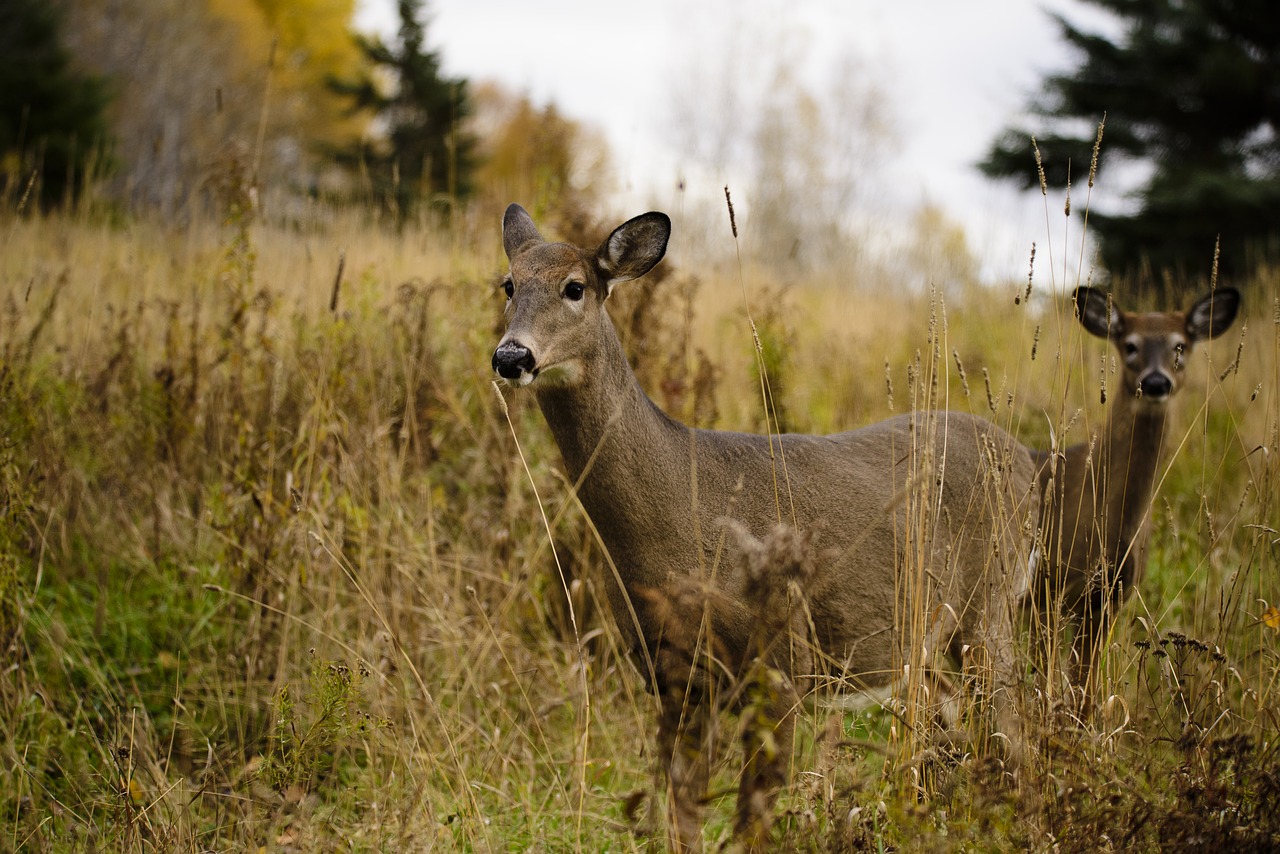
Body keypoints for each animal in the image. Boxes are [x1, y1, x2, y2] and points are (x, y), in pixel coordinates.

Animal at [488, 203, 1039, 850]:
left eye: (574, 288)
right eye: (508, 285)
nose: (512, 357)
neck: (680, 527)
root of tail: (1027, 459)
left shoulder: (780, 666)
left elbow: (752, 827)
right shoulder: (674, 679)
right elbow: (682, 820)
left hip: (990, 605)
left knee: (1015, 732)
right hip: (922, 635)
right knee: (953, 715)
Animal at [1029, 286, 1239, 701]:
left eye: (1180, 345)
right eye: (1130, 345)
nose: (1155, 382)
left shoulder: (1111, 598)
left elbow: (1086, 690)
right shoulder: (1050, 587)